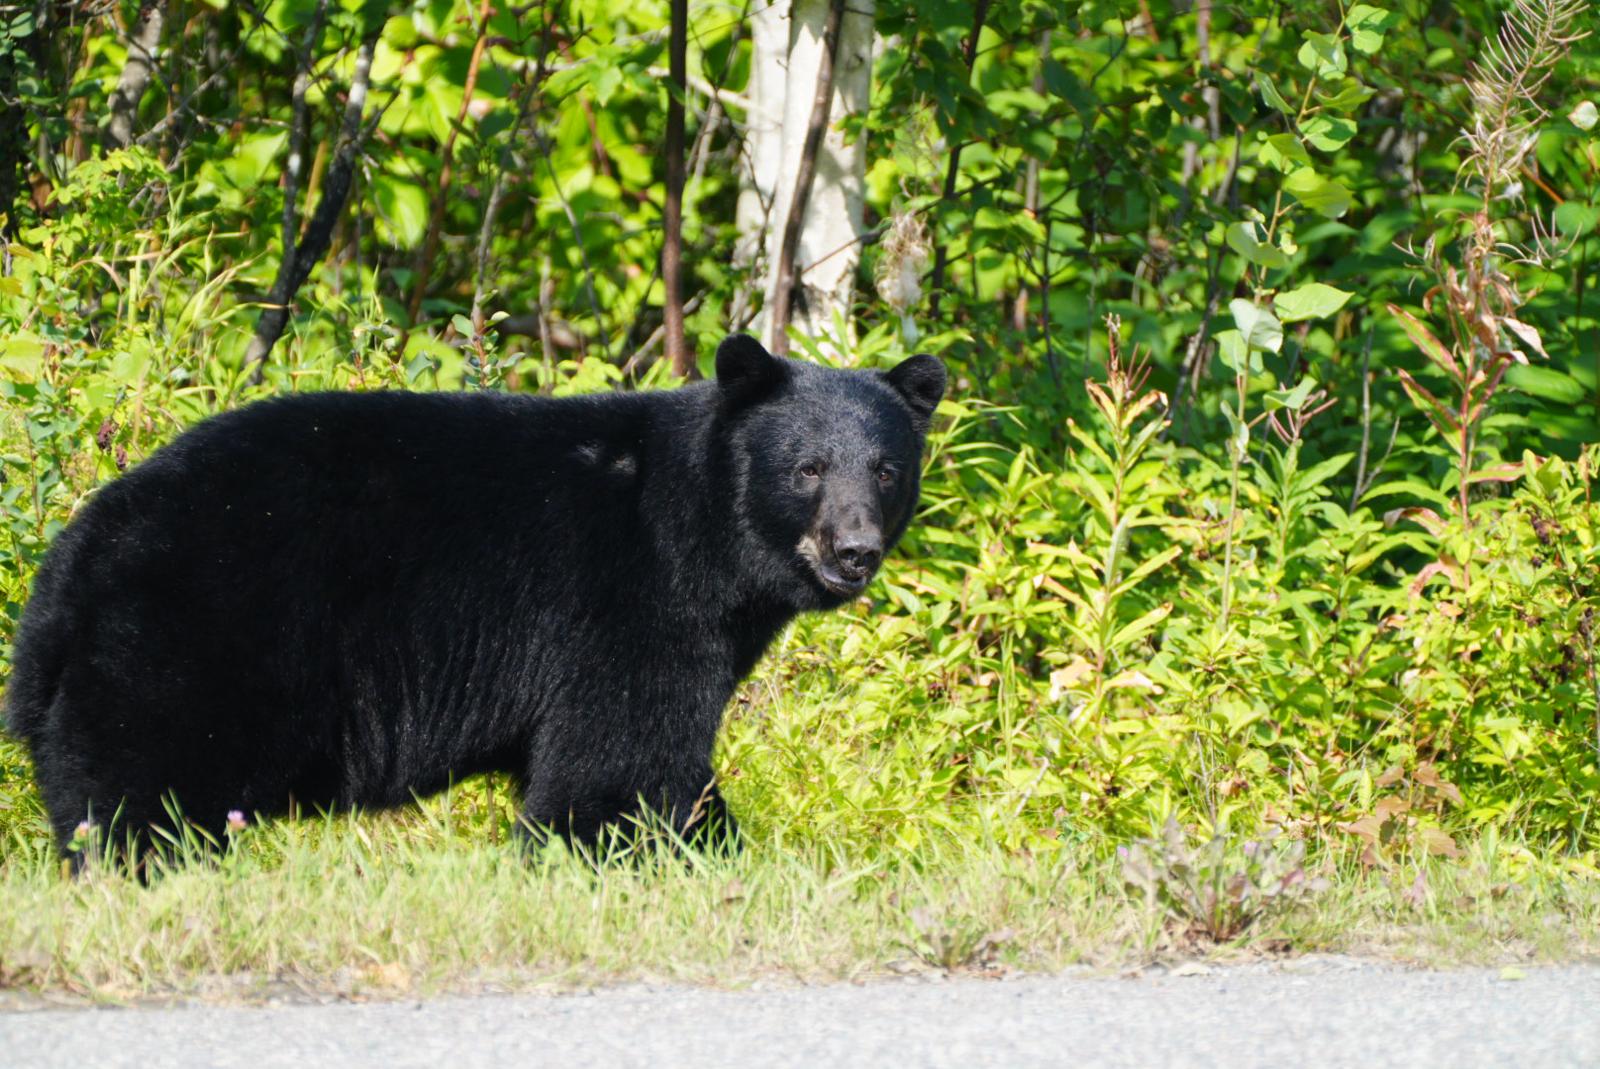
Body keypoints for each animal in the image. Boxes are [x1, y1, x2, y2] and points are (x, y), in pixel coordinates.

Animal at [3, 334, 945, 859]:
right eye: (808, 468)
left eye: (886, 468)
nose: (855, 549)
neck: (703, 535)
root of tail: (67, 567)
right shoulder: (630, 601)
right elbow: (619, 763)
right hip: (193, 633)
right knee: (138, 779)